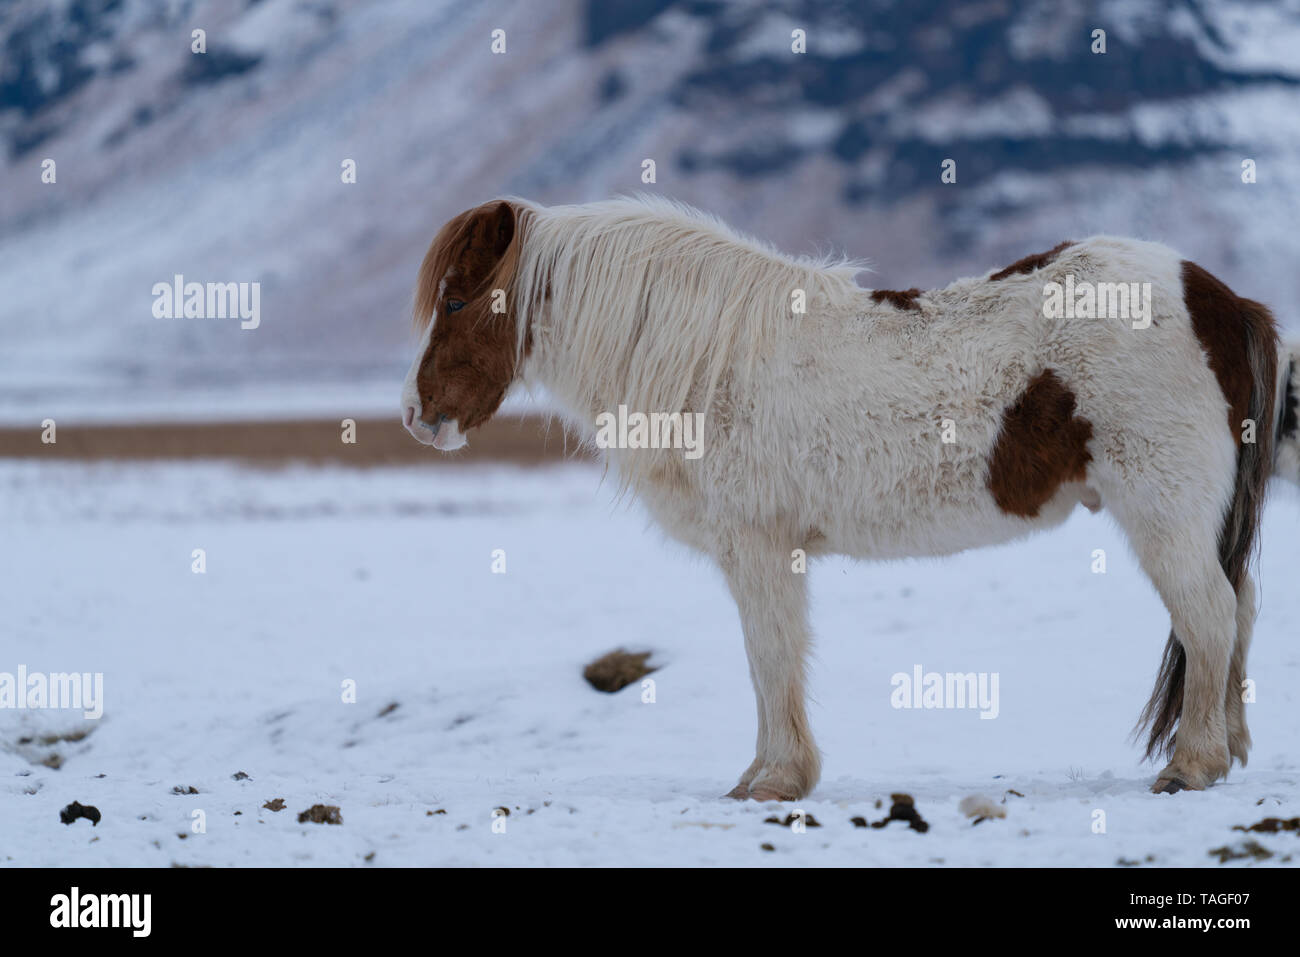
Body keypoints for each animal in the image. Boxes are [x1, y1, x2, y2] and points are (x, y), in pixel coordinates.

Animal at [400, 195, 1298, 801]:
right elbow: (774, 658)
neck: (710, 362)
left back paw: (1192, 764)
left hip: (1163, 509)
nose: (418, 417)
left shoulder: (758, 547)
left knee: (1210, 615)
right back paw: (1230, 749)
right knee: (1240, 608)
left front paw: (771, 779)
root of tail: (1224, 301)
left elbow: (769, 657)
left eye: (456, 299)